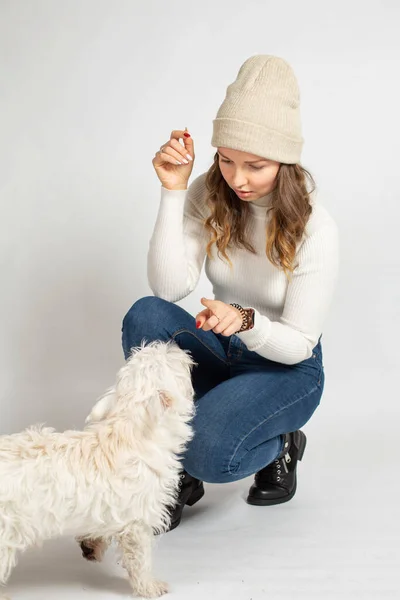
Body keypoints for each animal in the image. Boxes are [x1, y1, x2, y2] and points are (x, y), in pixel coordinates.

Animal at [0, 340, 195, 596]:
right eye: (165, 359)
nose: (172, 343)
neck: (129, 429)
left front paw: (91, 545)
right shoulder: (138, 521)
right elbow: (140, 558)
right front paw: (150, 586)